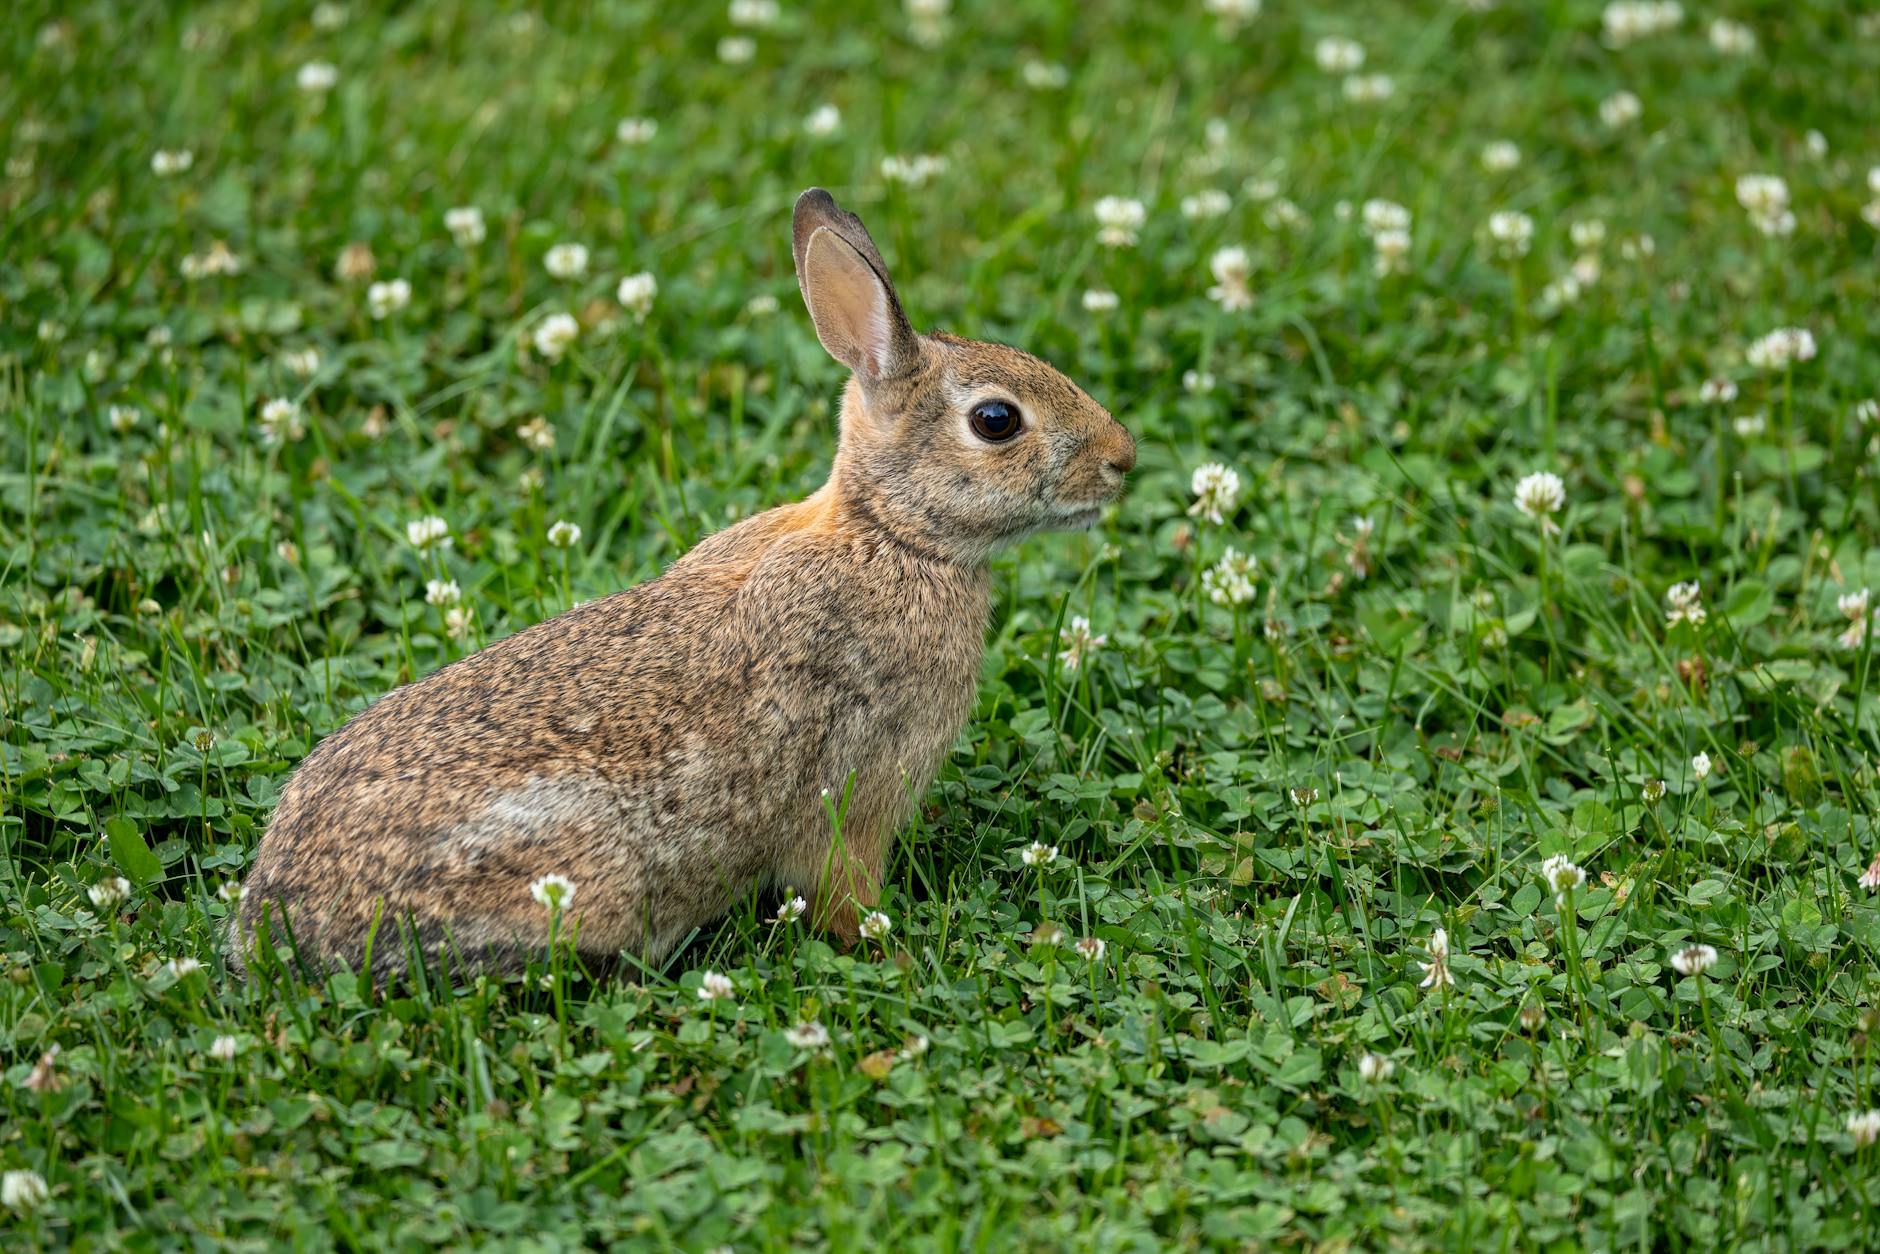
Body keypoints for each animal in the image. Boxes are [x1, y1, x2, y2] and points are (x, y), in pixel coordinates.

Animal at [230, 187, 1136, 981]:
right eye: (997, 421)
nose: (1123, 460)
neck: (890, 534)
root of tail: (278, 929)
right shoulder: (854, 796)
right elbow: (843, 895)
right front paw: (896, 954)